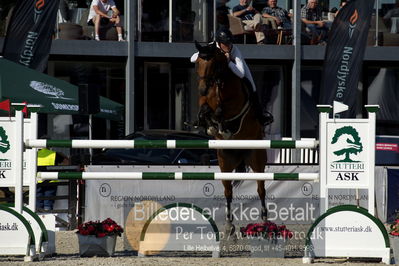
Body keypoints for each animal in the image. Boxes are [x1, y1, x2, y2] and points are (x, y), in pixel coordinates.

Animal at [194, 41, 268, 233]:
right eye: (197, 63)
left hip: (257, 159)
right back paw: (229, 224)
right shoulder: (204, 101)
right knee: (228, 191)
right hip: (225, 162)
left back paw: (265, 221)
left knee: (261, 189)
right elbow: (205, 109)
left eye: (212, 64)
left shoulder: (235, 105)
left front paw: (221, 125)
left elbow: (221, 110)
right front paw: (210, 125)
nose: (202, 89)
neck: (219, 82)